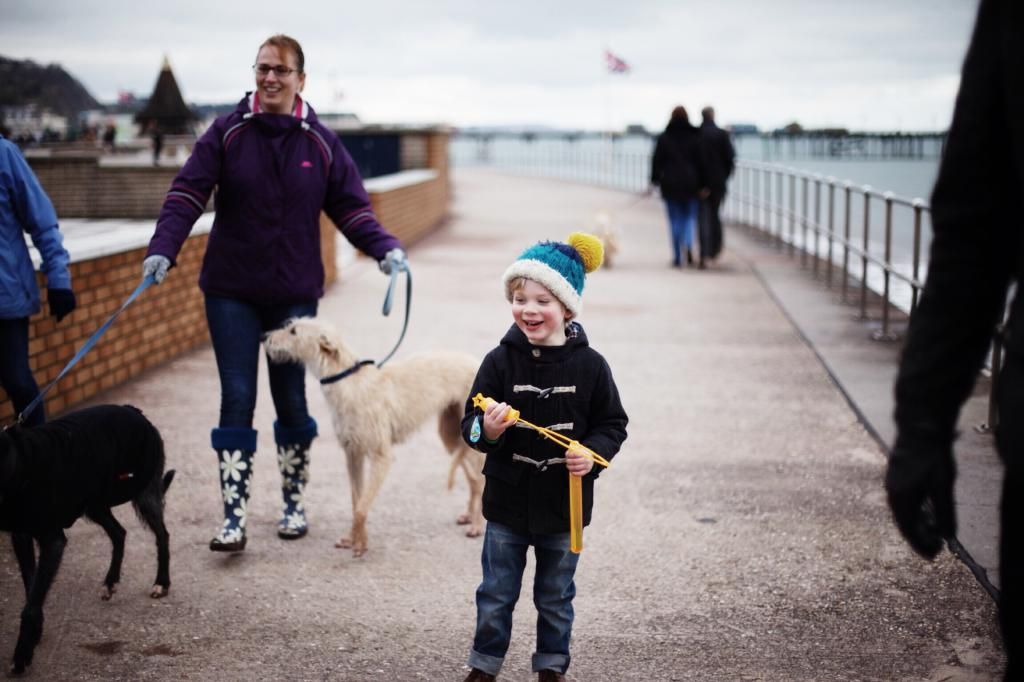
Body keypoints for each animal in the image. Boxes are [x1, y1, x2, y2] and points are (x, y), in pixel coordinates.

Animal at [0, 403, 174, 675]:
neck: (20, 463)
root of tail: (134, 411)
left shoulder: (52, 541)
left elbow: (31, 604)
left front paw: (21, 655)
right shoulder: (22, 536)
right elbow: (32, 590)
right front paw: (34, 637)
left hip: (143, 493)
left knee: (162, 535)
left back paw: (161, 582)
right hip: (95, 503)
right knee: (119, 533)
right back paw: (110, 581)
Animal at [266, 315, 485, 557]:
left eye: (293, 331)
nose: (265, 338)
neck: (349, 383)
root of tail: (475, 362)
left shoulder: (381, 456)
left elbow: (362, 507)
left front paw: (360, 544)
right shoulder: (353, 454)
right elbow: (357, 501)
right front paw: (353, 538)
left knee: (481, 480)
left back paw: (478, 524)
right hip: (450, 435)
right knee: (473, 479)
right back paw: (470, 515)